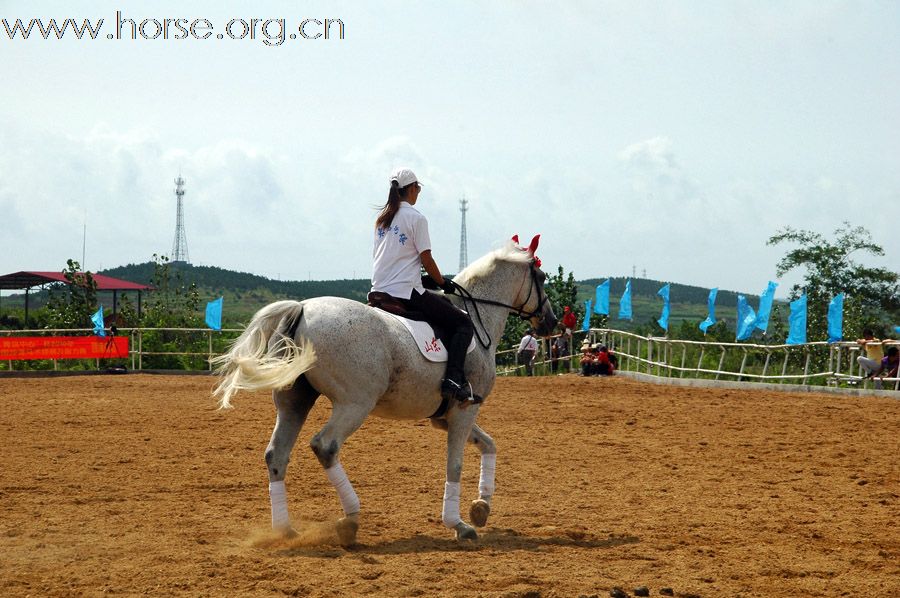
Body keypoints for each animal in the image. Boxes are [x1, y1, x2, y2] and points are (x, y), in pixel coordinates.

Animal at [214, 237, 560, 548]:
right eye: (542, 278)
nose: (551, 322)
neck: (477, 317)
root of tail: (302, 308)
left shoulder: (446, 416)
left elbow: (489, 445)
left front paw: (481, 507)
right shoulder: (464, 410)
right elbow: (456, 464)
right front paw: (460, 525)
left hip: (295, 401)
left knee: (277, 455)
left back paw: (284, 531)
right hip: (355, 403)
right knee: (325, 446)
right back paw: (350, 520)